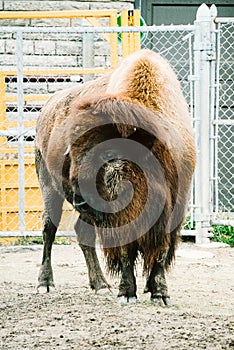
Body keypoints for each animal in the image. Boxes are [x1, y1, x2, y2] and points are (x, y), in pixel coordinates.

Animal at [34, 47, 196, 304]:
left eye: (109, 153)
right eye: (73, 153)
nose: (80, 200)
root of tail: (46, 109)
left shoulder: (174, 207)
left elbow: (160, 251)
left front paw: (159, 292)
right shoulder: (119, 218)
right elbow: (125, 251)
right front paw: (127, 292)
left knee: (83, 233)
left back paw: (100, 285)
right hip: (49, 188)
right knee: (49, 228)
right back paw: (45, 284)